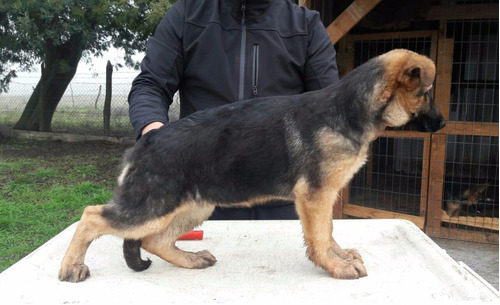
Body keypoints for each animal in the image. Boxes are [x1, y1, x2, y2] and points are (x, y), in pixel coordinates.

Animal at [57, 48, 446, 282]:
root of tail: (142, 145)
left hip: (191, 207)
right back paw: (71, 265)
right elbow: (320, 236)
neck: (349, 108)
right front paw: (334, 265)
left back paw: (191, 259)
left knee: (154, 241)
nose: (443, 124)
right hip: (152, 207)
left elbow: (329, 231)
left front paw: (339, 255)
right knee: (92, 216)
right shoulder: (315, 196)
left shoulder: (322, 198)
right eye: (426, 94)